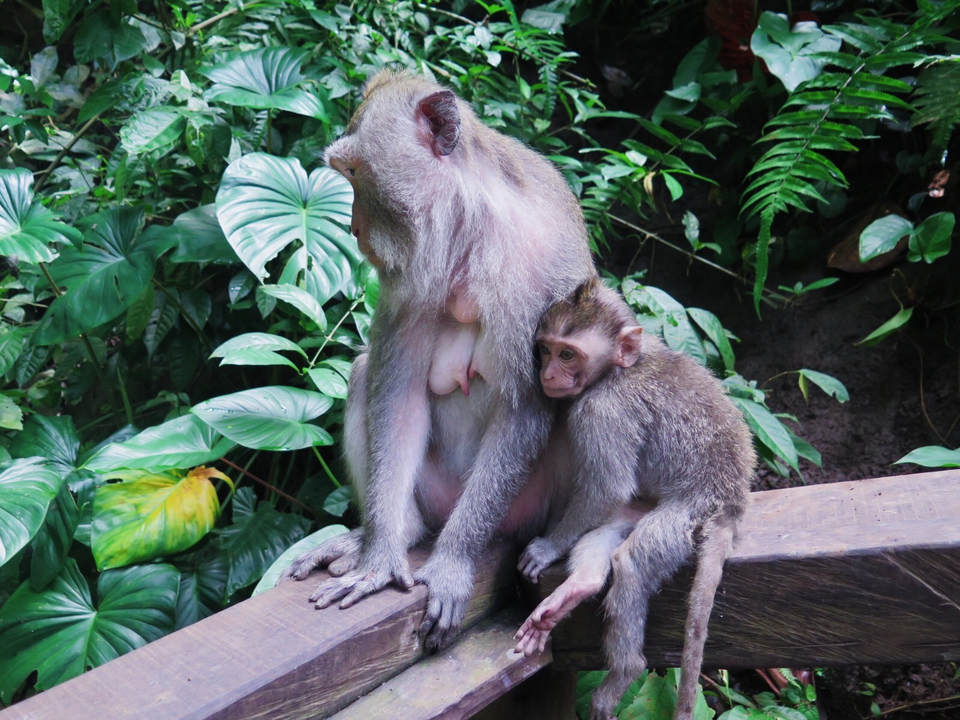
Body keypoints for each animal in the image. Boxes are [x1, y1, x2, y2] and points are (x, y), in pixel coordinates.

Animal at [282, 70, 596, 650]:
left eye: (355, 172)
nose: (354, 229)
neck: (470, 231)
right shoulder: (407, 280)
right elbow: (396, 394)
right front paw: (379, 561)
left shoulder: (544, 277)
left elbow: (525, 410)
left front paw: (451, 564)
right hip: (431, 492)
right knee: (364, 373)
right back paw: (391, 533)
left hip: (523, 506)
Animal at [513, 278, 755, 720]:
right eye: (545, 349)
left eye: (567, 354)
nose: (547, 372)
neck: (618, 370)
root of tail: (732, 501)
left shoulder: (603, 410)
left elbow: (607, 487)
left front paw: (548, 547)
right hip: (646, 509)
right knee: (606, 536)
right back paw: (580, 587)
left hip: (688, 512)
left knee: (632, 561)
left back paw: (625, 670)